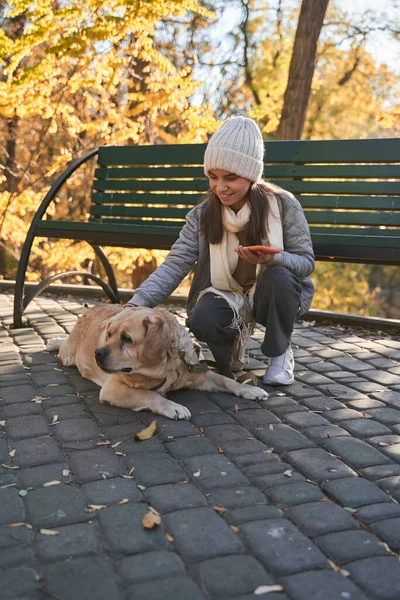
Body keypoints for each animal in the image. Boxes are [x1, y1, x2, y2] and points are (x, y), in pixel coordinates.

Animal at [47, 304, 268, 418]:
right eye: (109, 334)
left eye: (127, 339)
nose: (97, 353)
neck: (165, 368)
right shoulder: (112, 389)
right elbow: (149, 395)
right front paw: (172, 406)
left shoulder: (198, 373)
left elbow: (227, 380)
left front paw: (250, 389)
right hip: (68, 354)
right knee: (63, 346)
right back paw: (54, 341)